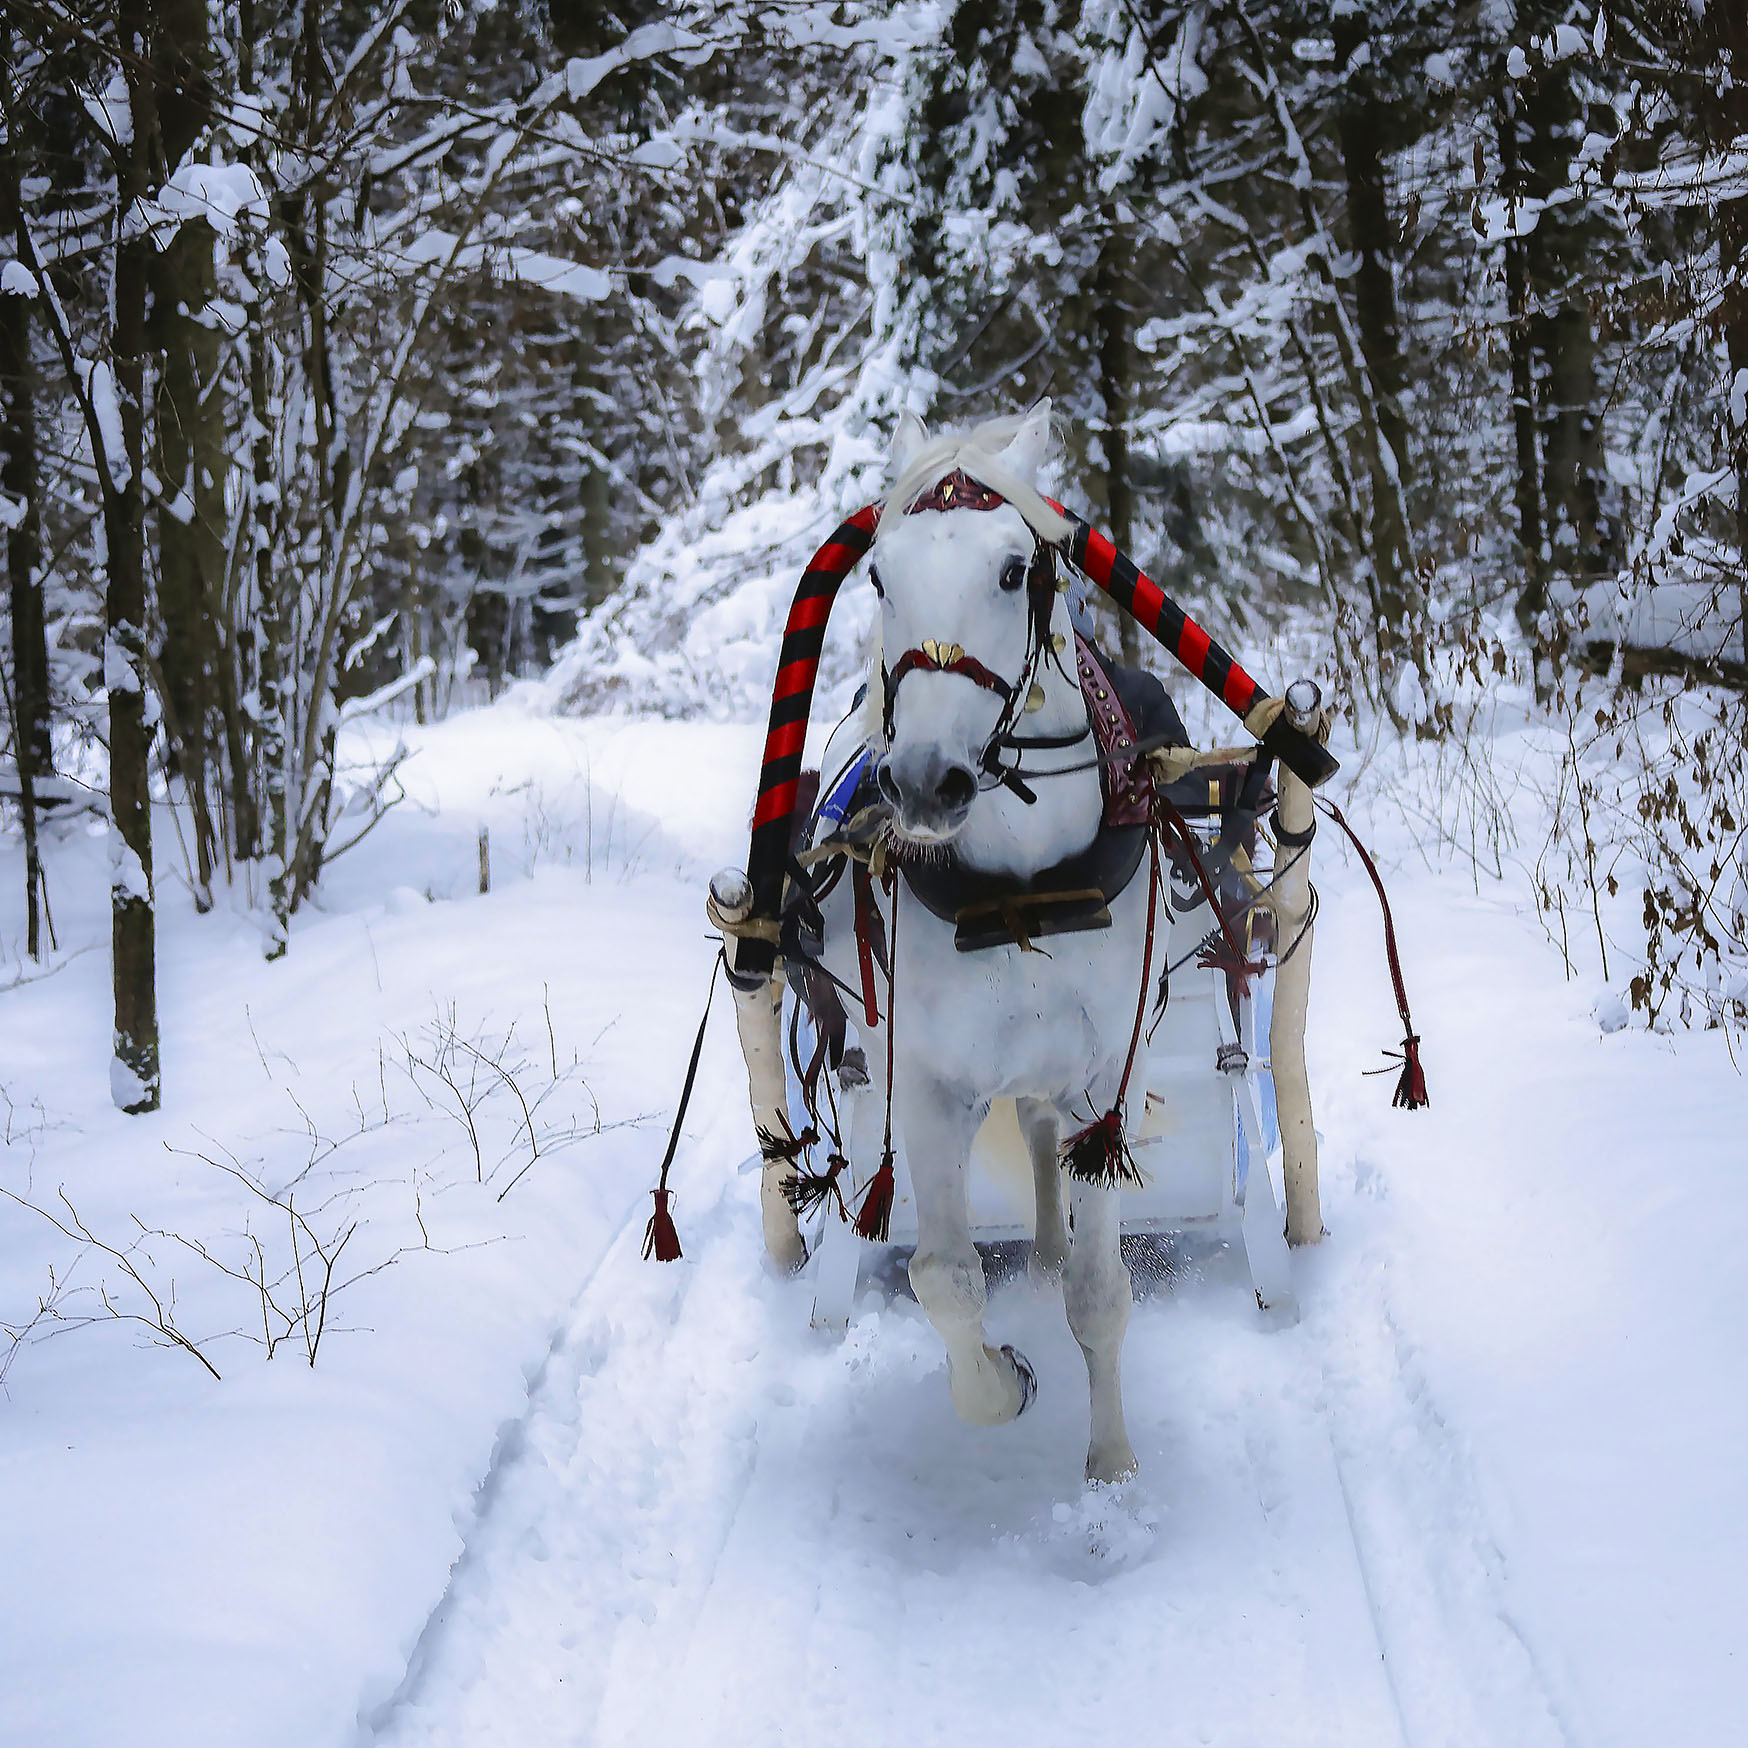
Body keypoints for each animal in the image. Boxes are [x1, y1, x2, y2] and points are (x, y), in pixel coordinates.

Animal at [807, 402, 1160, 1482]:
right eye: (879, 576)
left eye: (1013, 570)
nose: (925, 781)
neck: (1022, 892)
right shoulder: (925, 1086)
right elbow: (944, 1277)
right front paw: (1004, 1383)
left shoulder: (1107, 1077)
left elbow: (1100, 1291)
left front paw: (1111, 1466)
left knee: (1044, 1137)